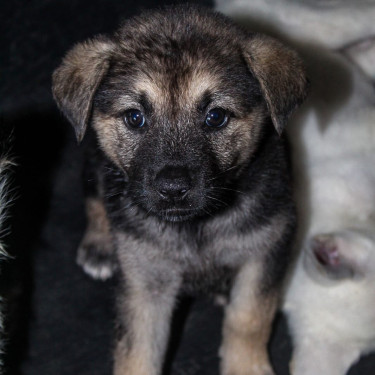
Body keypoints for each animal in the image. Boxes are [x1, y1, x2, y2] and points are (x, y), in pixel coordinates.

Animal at [51, 5, 308, 375]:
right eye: (134, 118)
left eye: (216, 117)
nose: (172, 189)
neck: (197, 227)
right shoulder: (145, 280)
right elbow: (138, 351)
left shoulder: (264, 252)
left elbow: (248, 319)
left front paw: (245, 365)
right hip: (95, 162)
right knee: (95, 199)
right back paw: (98, 245)